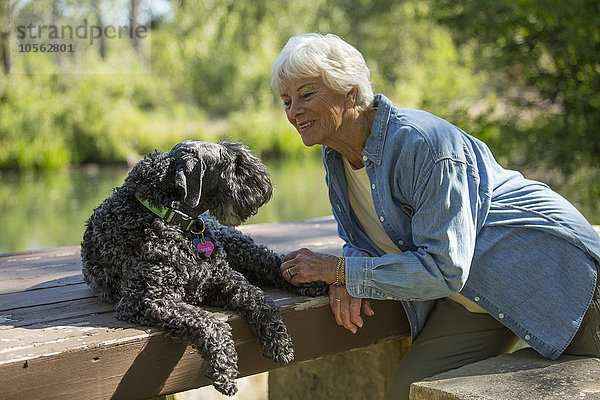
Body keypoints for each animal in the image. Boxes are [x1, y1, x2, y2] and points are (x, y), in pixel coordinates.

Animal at [82, 140, 326, 394]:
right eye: (232, 163)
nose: (266, 186)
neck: (173, 219)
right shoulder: (146, 298)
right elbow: (208, 321)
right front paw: (224, 368)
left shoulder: (224, 279)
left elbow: (260, 300)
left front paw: (279, 340)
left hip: (240, 249)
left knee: (271, 262)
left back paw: (309, 279)